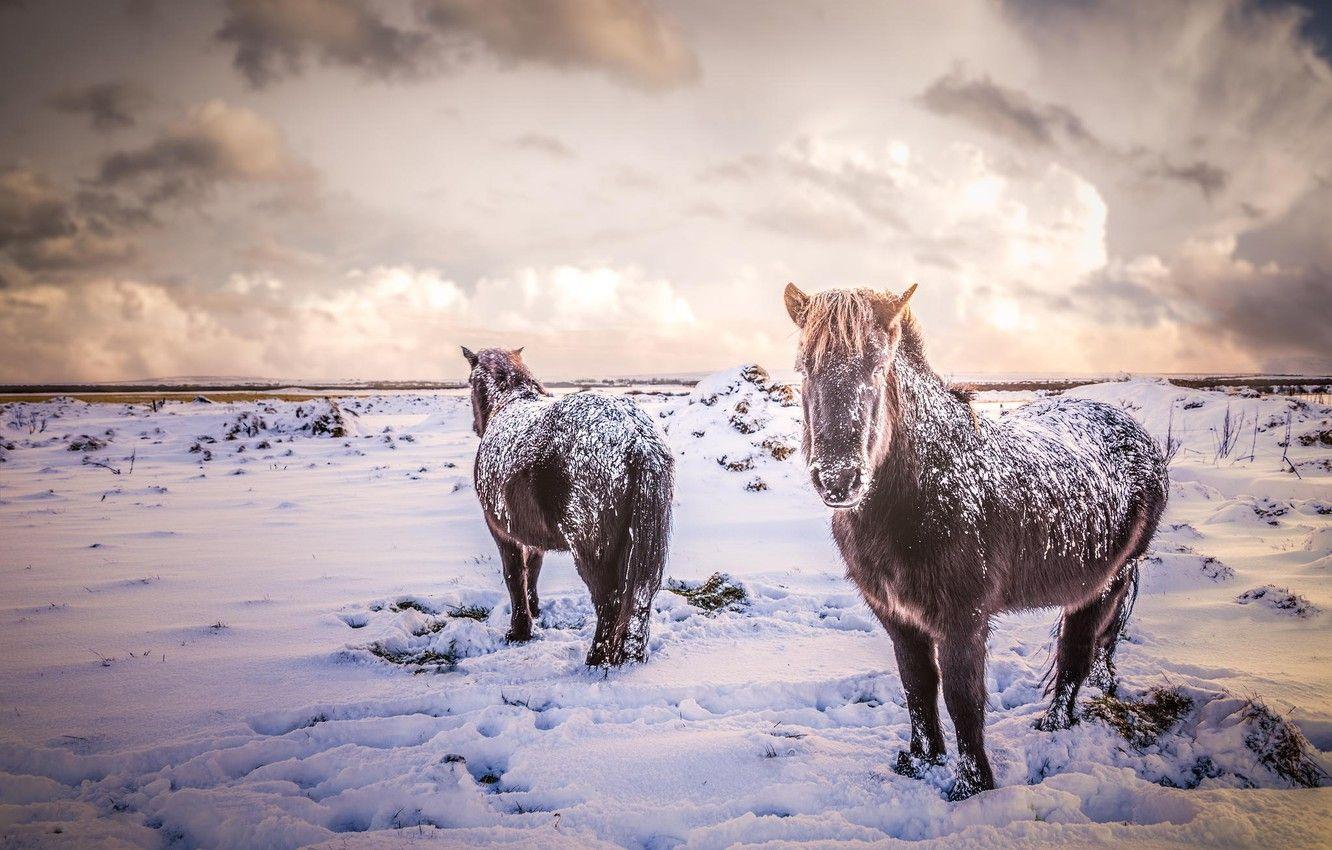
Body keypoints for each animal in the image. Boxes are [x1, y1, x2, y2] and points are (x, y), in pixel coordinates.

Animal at [462, 346, 674, 667]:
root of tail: (636, 439)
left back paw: (595, 660)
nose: (476, 426)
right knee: (639, 599)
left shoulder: (502, 531)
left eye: (471, 381)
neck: (509, 403)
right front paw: (534, 611)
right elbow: (532, 570)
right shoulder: (532, 535)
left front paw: (519, 631)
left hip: (592, 551)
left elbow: (514, 576)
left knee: (609, 603)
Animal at [782, 284, 1168, 799]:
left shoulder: (963, 619)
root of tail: (1135, 432)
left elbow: (962, 698)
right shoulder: (896, 617)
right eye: (803, 367)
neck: (929, 488)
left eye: (878, 364)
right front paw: (921, 762)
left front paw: (972, 786)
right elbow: (917, 685)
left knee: (1077, 653)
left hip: (1105, 583)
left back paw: (1054, 726)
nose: (838, 478)